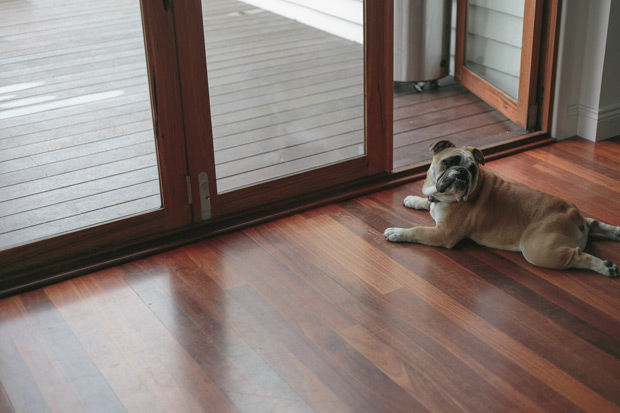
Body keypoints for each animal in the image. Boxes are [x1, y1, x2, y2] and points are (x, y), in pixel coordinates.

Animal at [382, 139, 620, 276]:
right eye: (450, 162)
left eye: (472, 169)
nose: (463, 173)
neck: (446, 198)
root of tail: (573, 215)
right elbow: (426, 200)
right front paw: (413, 199)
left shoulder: (443, 233)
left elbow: (417, 231)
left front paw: (397, 232)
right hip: (574, 226)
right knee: (593, 222)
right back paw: (616, 232)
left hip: (539, 251)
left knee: (578, 256)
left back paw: (605, 267)